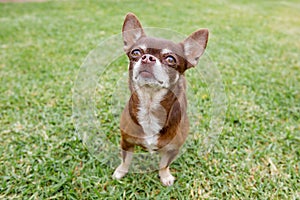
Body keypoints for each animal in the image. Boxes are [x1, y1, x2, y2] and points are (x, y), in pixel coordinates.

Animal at [112, 12, 209, 186]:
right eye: (135, 52)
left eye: (170, 59)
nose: (147, 57)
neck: (150, 105)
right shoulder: (126, 142)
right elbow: (125, 160)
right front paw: (120, 172)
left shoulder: (173, 149)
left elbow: (164, 164)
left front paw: (165, 177)